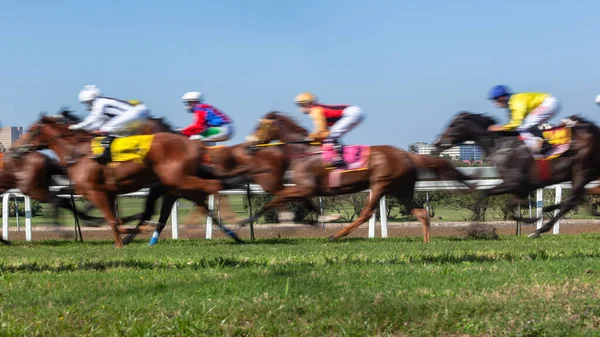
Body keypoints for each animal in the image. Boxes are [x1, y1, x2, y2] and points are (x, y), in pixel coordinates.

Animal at [237, 111, 476, 240]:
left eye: (259, 126)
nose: (248, 145)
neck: (303, 151)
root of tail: (407, 155)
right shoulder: (305, 189)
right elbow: (299, 203)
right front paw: (322, 219)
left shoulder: (305, 187)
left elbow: (275, 199)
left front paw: (245, 220)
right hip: (402, 191)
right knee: (421, 213)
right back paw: (426, 242)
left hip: (380, 184)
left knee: (366, 213)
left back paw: (337, 235)